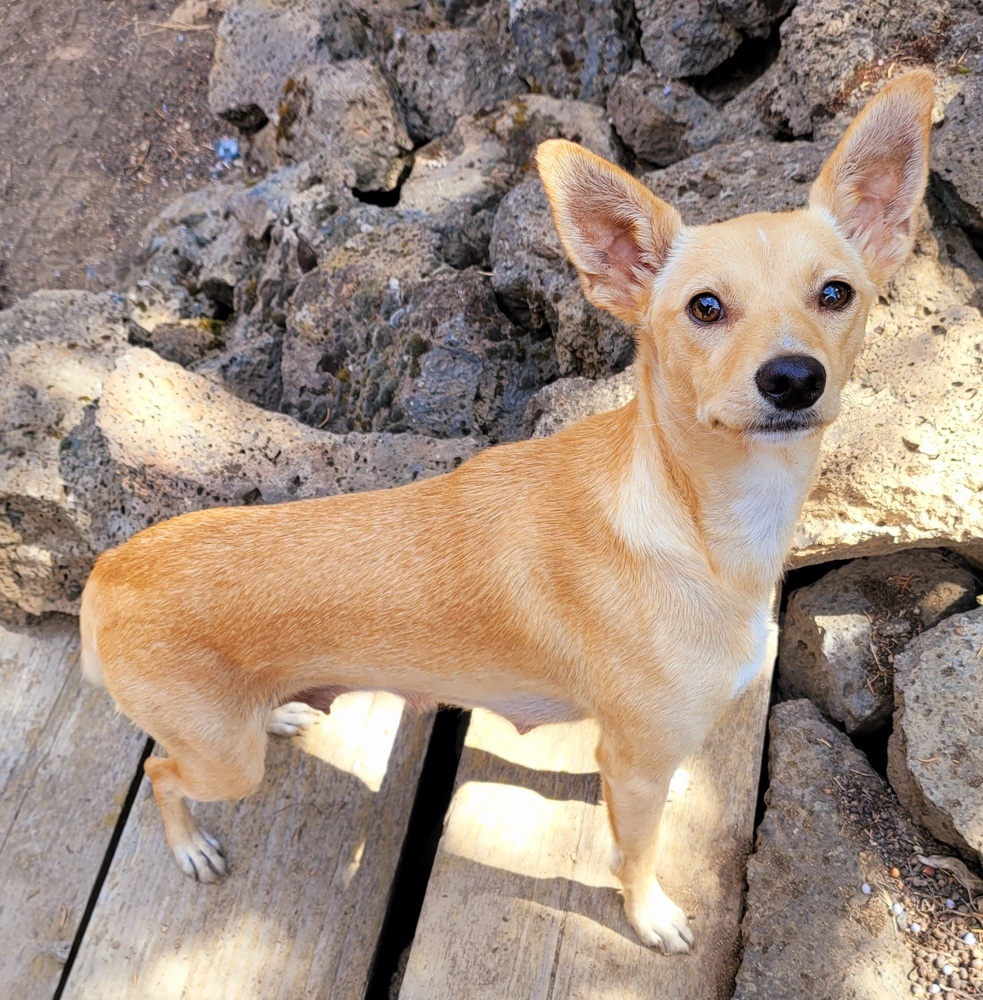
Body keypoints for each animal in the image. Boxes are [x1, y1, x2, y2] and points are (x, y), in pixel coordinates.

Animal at [80, 72, 936, 952]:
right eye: (704, 308)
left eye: (834, 294)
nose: (793, 378)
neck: (700, 523)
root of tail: (109, 568)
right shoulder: (635, 758)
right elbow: (634, 853)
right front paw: (648, 915)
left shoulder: (634, 753)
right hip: (224, 763)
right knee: (159, 772)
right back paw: (190, 845)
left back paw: (282, 710)